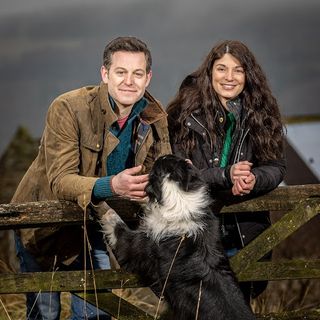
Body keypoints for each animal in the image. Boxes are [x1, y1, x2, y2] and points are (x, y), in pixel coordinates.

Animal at [99, 154, 256, 318]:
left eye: (156, 165)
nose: (161, 155)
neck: (179, 198)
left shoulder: (139, 245)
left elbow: (120, 230)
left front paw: (105, 209)